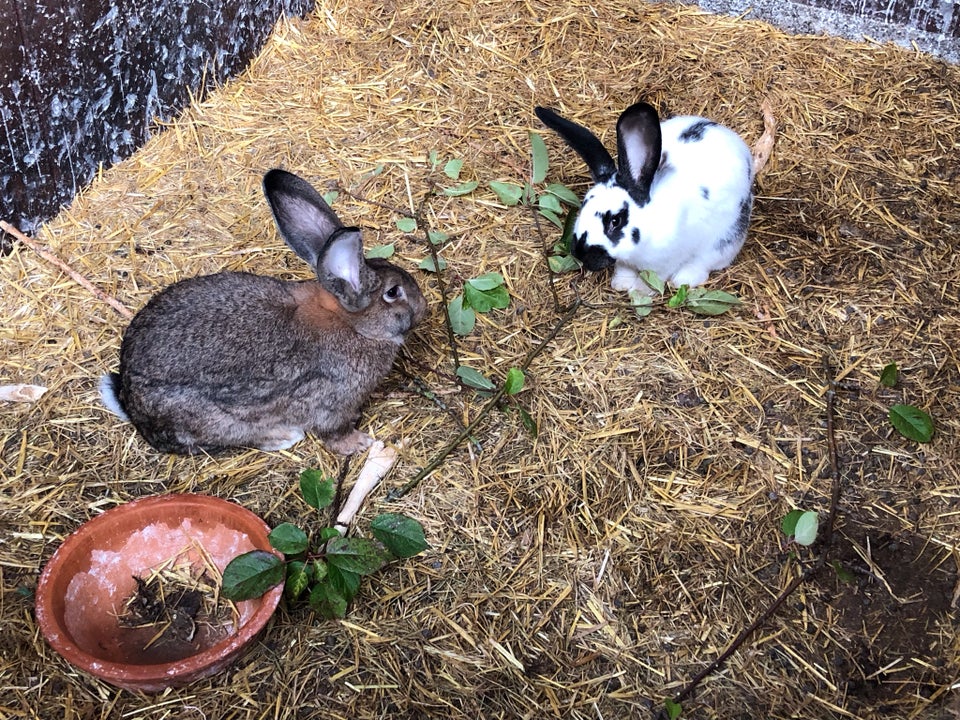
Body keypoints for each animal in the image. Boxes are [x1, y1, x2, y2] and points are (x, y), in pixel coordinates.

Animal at [99, 167, 426, 456]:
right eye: (393, 292)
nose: (423, 306)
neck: (351, 324)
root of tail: (130, 404)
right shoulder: (330, 403)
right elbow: (334, 433)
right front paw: (360, 443)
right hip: (216, 422)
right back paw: (281, 437)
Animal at [536, 100, 752, 294]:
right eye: (584, 206)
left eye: (615, 221)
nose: (581, 254)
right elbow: (624, 268)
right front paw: (621, 284)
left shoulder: (665, 262)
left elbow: (653, 279)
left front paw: (639, 293)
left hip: (724, 240)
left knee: (705, 263)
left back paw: (684, 279)